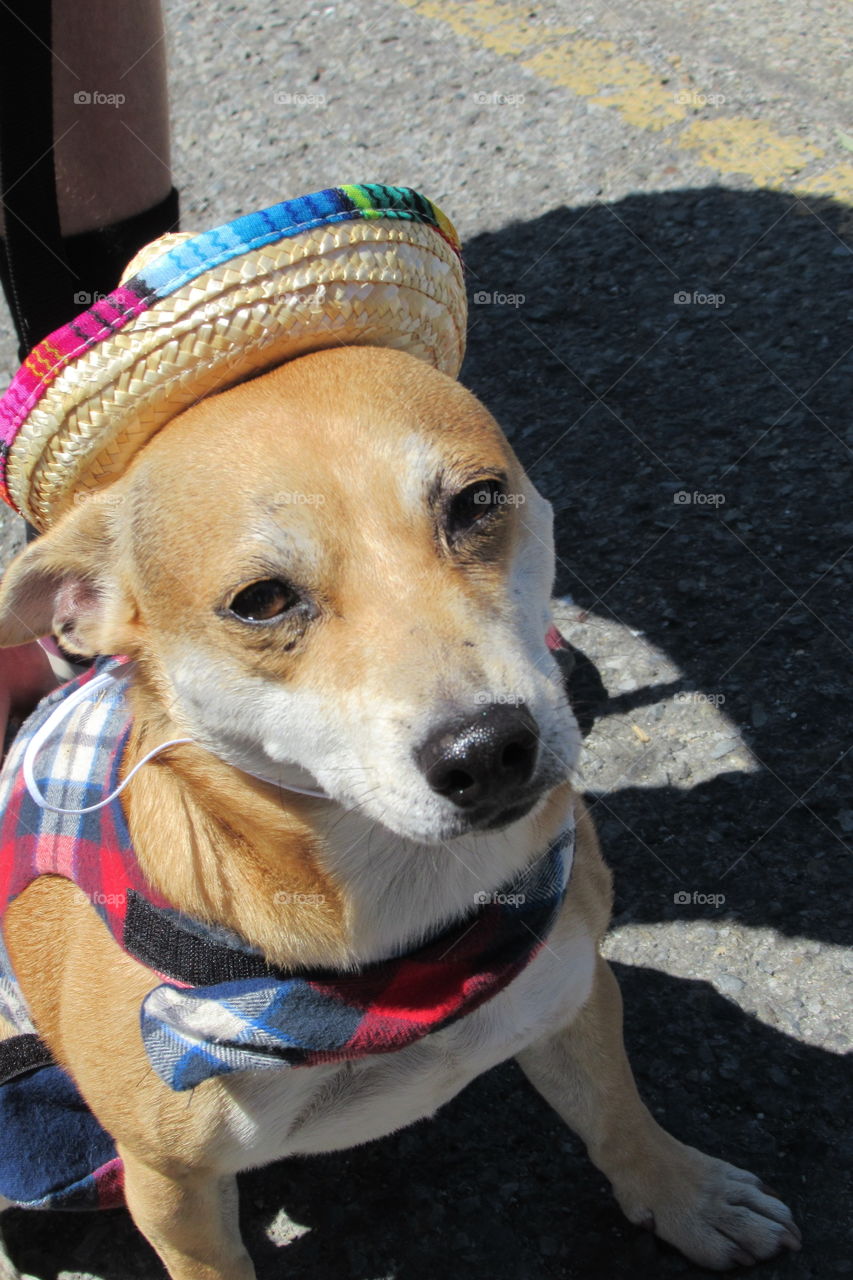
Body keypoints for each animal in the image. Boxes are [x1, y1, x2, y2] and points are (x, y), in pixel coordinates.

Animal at [0, 345, 799, 1274]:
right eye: (260, 601)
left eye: (478, 501)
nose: (486, 750)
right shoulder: (171, 1185)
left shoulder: (572, 990)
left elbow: (615, 1113)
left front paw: (684, 1195)